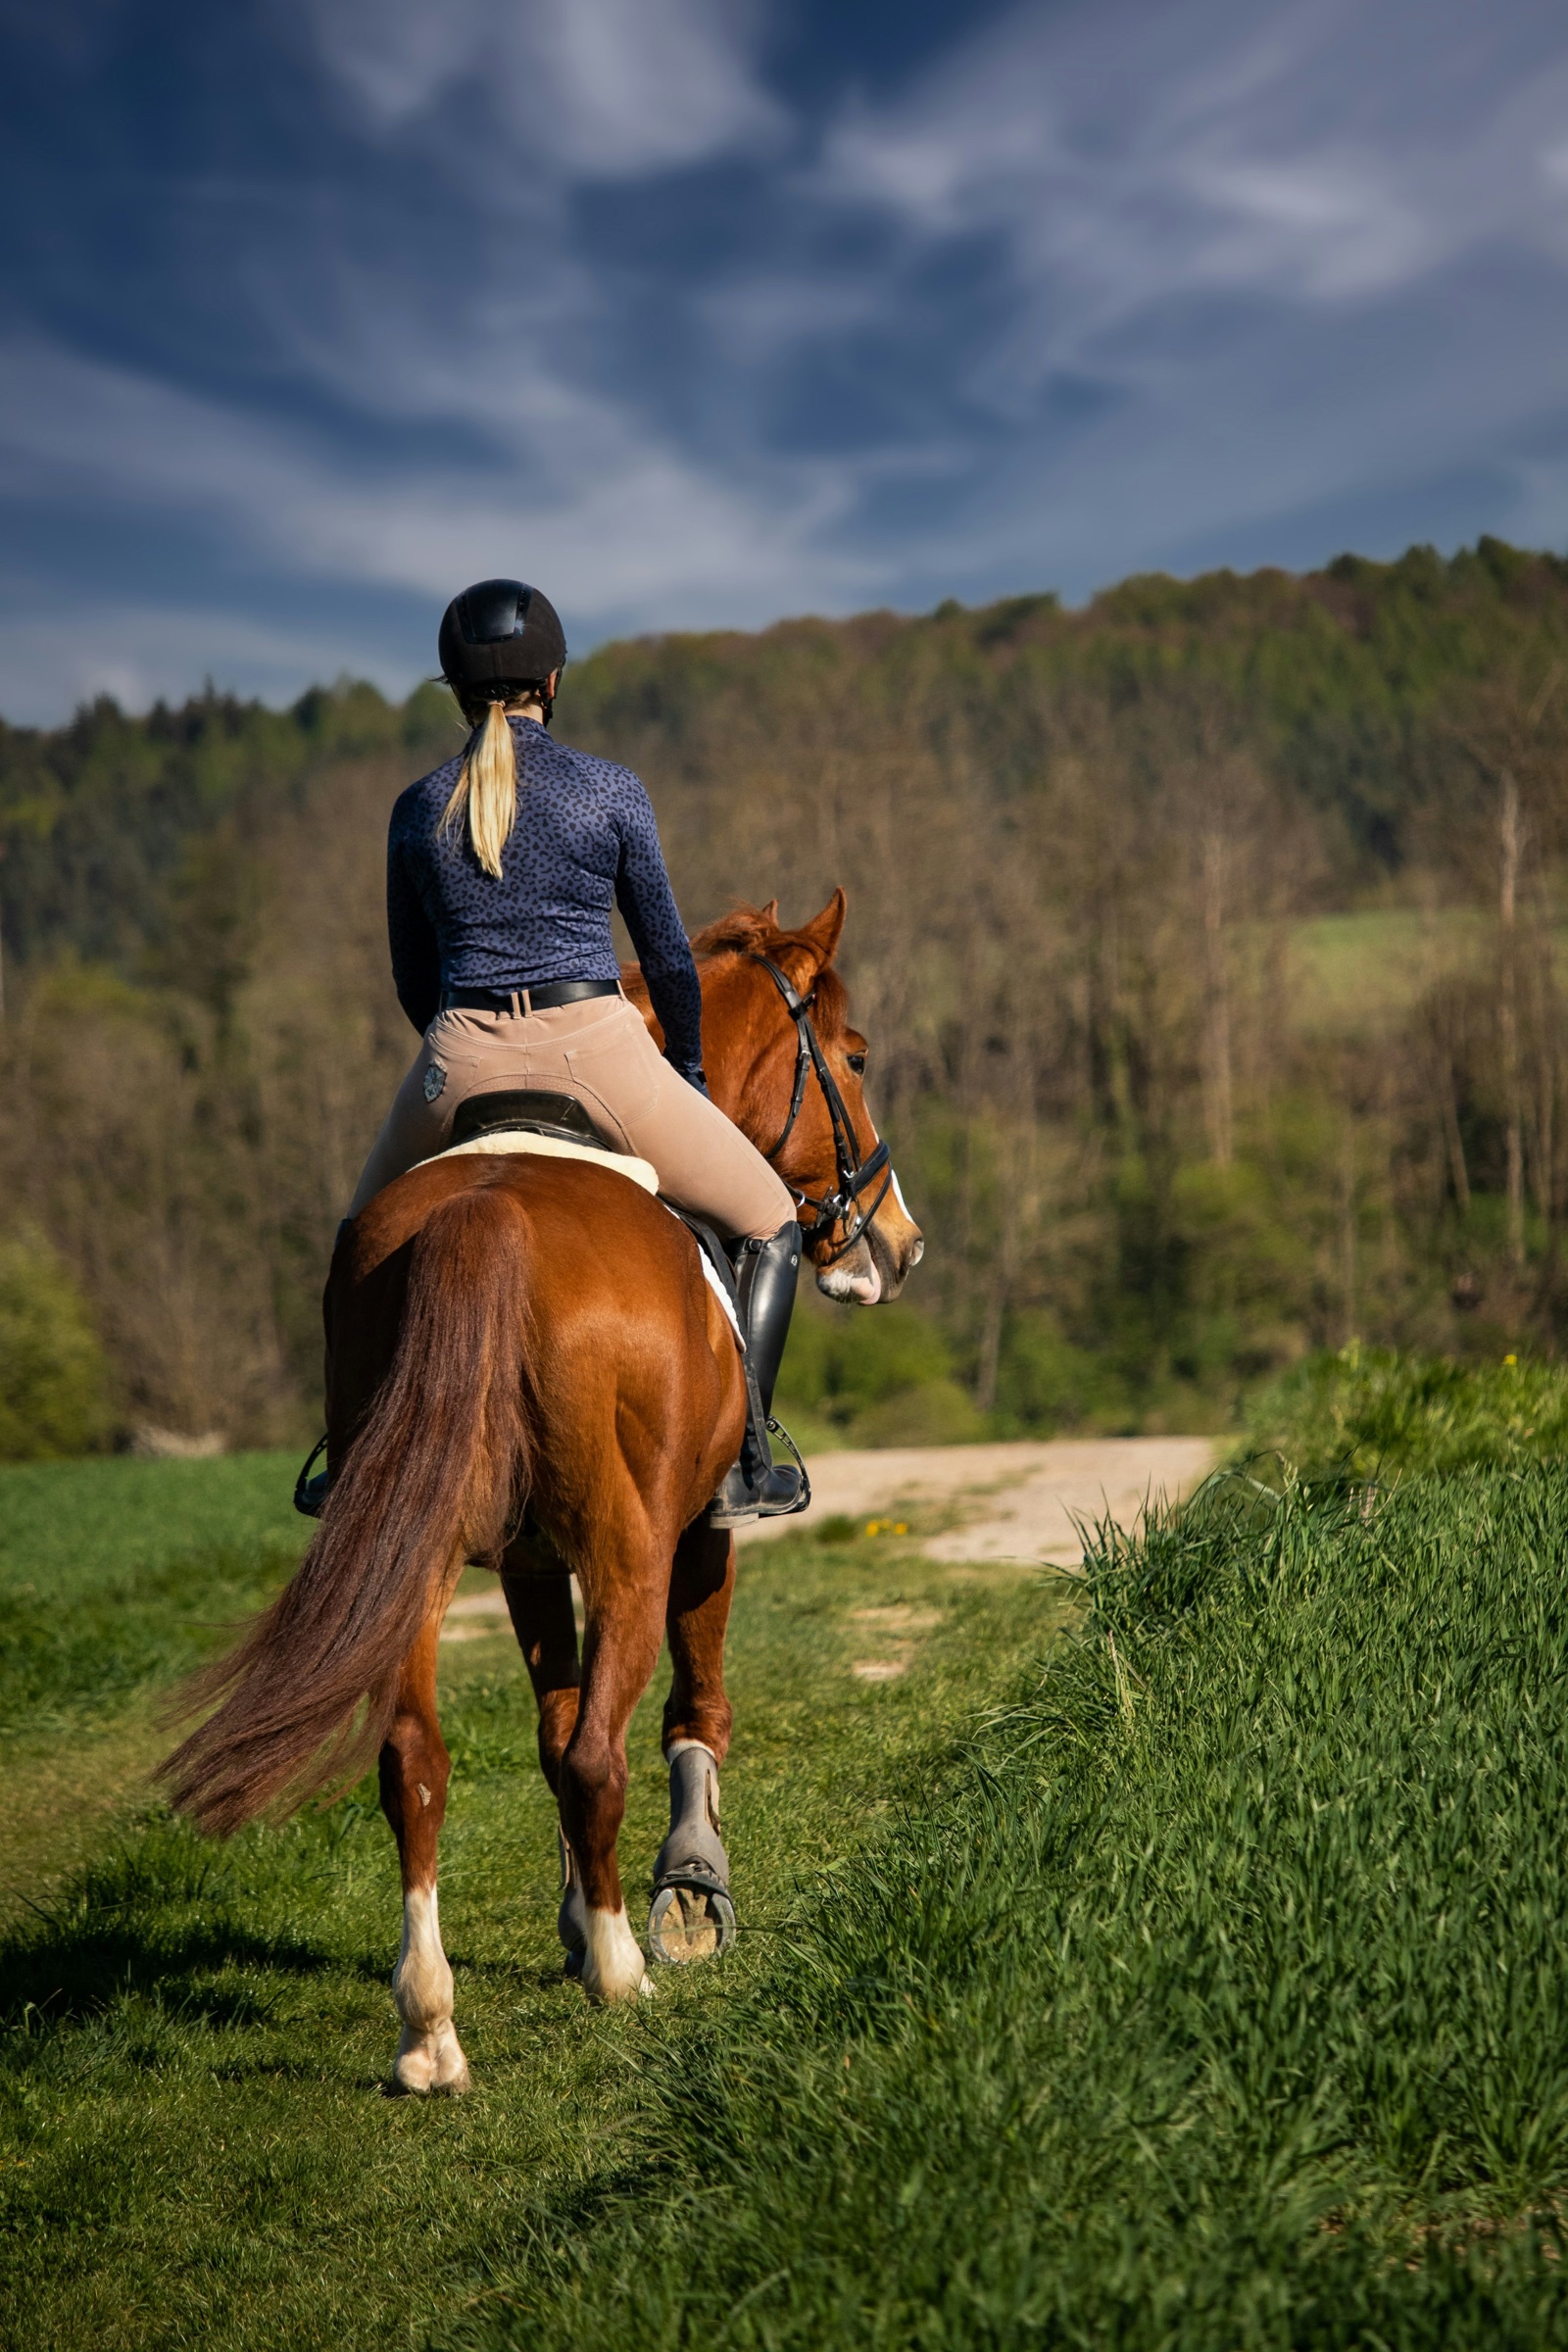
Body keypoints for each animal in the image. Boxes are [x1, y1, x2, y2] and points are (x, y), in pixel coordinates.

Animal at [159, 890, 924, 2093]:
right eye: (852, 1057)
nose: (897, 1246)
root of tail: (489, 1215)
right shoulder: (696, 1531)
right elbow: (684, 1709)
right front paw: (686, 1896)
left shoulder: (523, 1560)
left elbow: (548, 1723)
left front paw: (576, 1916)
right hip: (625, 1550)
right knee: (601, 1749)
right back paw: (619, 1969)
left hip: (414, 1550)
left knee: (415, 1763)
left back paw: (429, 2030)